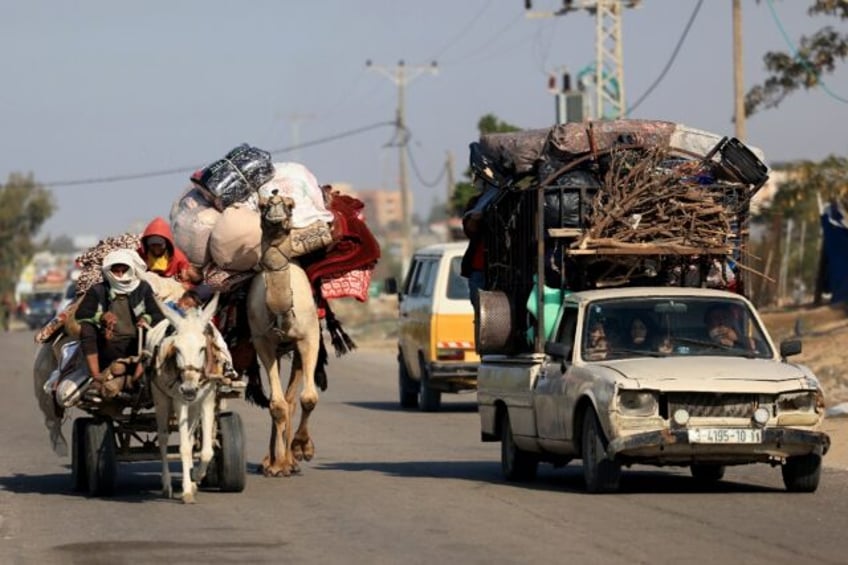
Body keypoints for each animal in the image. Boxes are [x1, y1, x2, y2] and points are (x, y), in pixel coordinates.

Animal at [248, 189, 324, 476]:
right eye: (261, 206)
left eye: (291, 205)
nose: (276, 207)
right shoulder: (263, 342)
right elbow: (276, 404)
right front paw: (276, 464)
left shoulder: (309, 338)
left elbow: (308, 398)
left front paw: (302, 448)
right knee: (280, 400)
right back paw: (275, 461)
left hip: (297, 349)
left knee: (293, 398)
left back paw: (291, 459)